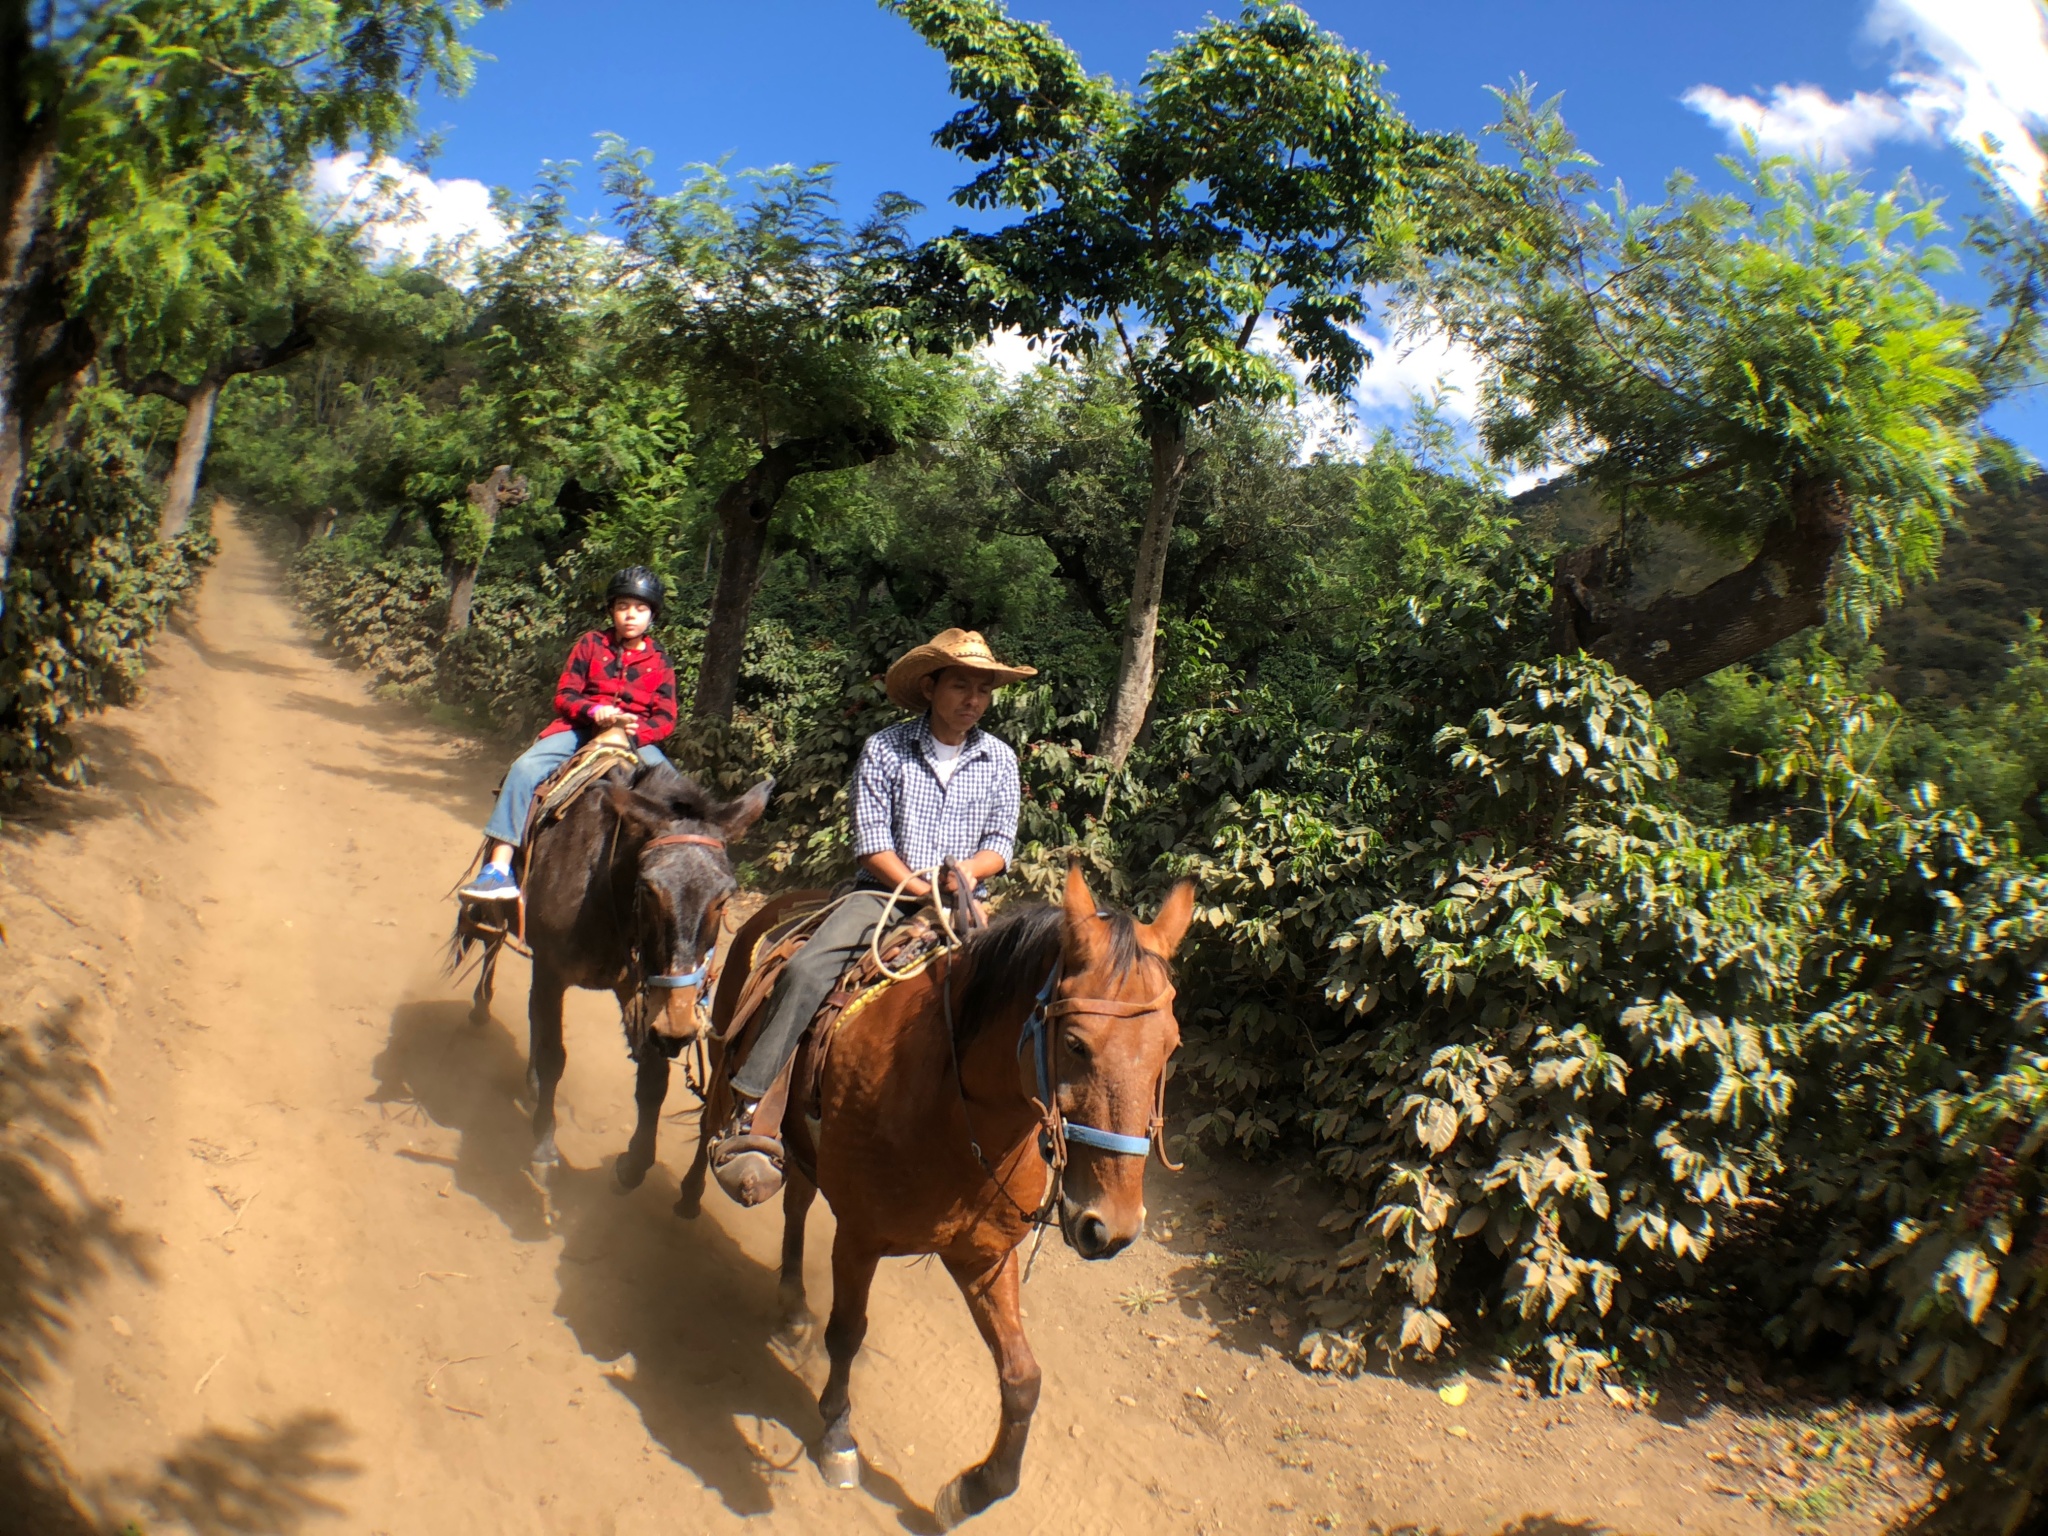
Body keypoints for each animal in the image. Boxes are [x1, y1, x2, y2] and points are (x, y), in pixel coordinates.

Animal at [679, 868, 1196, 1531]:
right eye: (1077, 1043)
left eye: (1171, 1047)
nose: (1113, 1227)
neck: (954, 1107)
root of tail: (786, 903)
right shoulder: (859, 1238)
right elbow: (847, 1333)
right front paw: (838, 1437)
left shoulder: (985, 1256)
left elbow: (1022, 1378)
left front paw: (974, 1489)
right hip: (729, 1072)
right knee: (708, 1129)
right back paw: (685, 1195)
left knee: (796, 1202)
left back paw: (792, 1302)